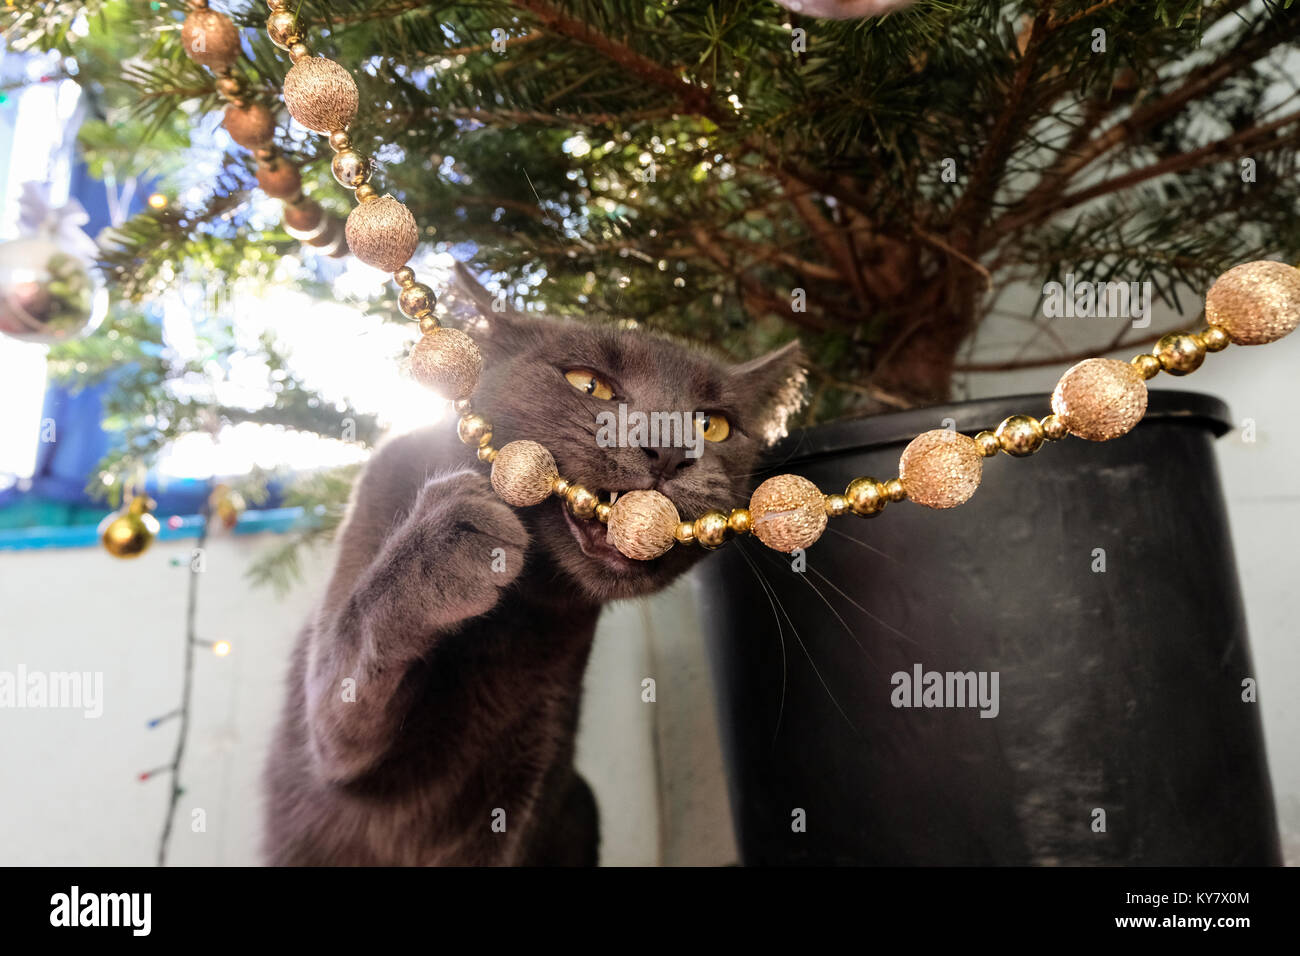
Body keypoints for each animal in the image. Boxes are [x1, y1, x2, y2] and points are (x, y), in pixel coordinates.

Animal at [262, 270, 800, 868]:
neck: (520, 618)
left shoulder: (531, 763)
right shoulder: (329, 735)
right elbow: (343, 685)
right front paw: (453, 541)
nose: (667, 449)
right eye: (589, 386)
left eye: (715, 425)